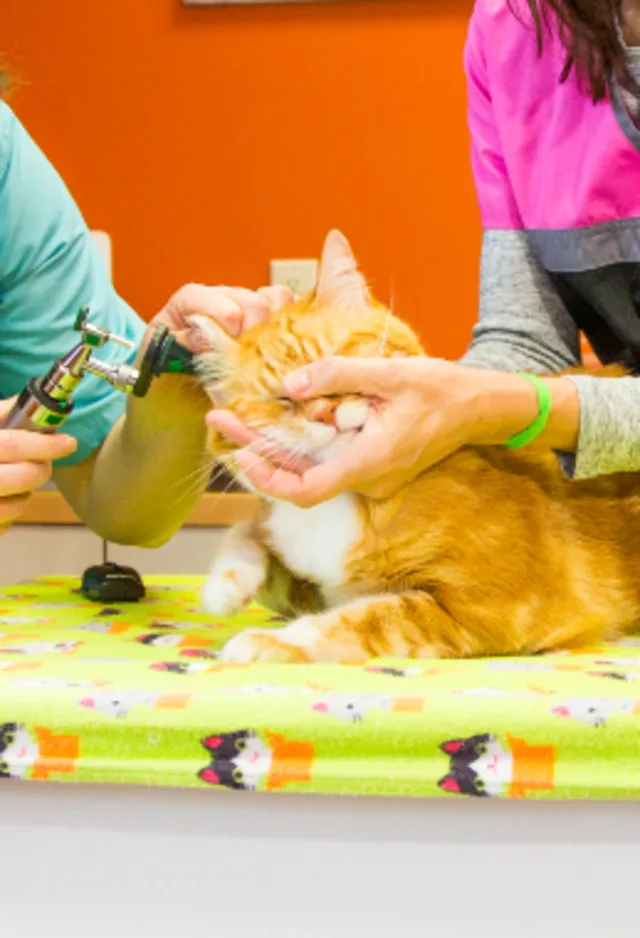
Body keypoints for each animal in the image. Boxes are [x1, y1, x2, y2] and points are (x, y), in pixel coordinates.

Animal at [195, 229, 640, 660]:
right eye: (282, 398)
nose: (325, 413)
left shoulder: (495, 607)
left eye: (336, 361)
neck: (349, 503)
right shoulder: (318, 588)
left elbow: (363, 619)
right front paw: (226, 580)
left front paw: (270, 641)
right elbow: (249, 537)